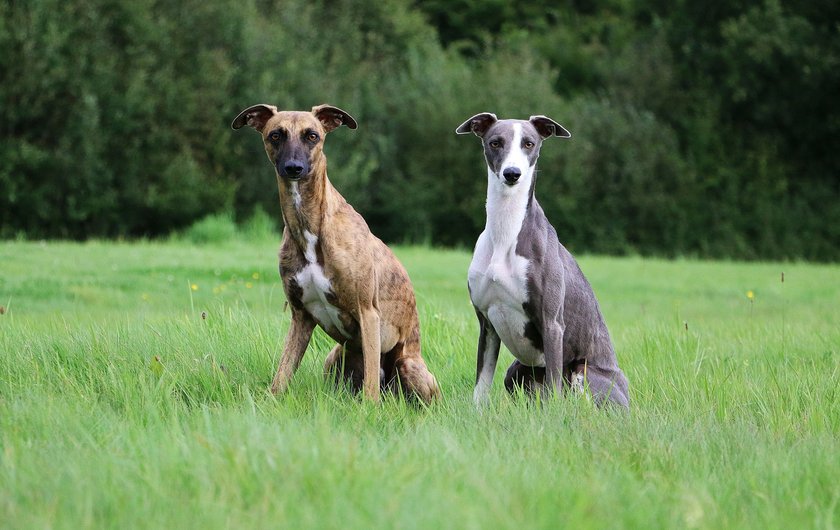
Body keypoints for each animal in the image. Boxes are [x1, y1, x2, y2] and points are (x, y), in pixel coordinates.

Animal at [456, 111, 628, 406]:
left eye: (529, 143)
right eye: (495, 142)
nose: (512, 174)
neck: (506, 233)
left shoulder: (552, 324)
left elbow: (555, 388)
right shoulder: (487, 324)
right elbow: (481, 385)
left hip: (584, 372)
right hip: (515, 370)